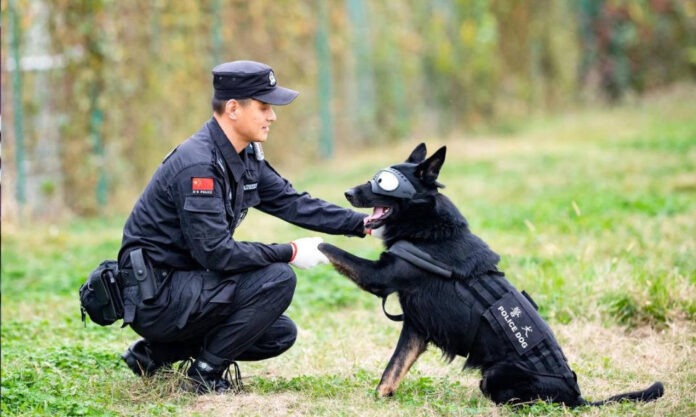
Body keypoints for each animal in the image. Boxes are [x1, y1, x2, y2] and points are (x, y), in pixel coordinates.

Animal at [320, 144, 664, 406]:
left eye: (383, 182)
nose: (347, 192)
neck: (426, 225)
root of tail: (578, 398)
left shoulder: (379, 277)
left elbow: (330, 248)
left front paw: (308, 246)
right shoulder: (415, 328)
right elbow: (393, 369)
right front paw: (381, 396)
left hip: (494, 375)